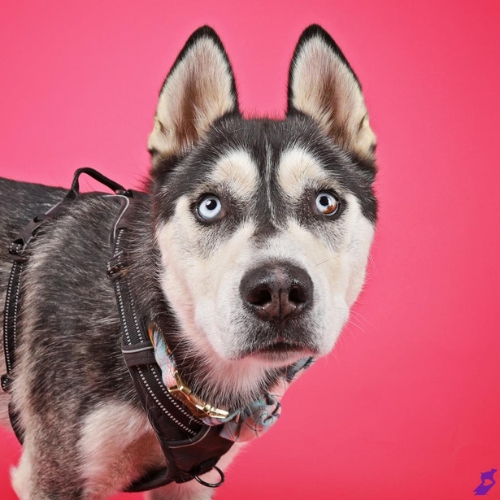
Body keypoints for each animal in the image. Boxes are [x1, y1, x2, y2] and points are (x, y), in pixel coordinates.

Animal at [0, 24, 376, 500]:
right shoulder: (55, 475)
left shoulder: (188, 487)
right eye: (210, 207)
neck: (147, 330)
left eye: (325, 202)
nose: (277, 290)